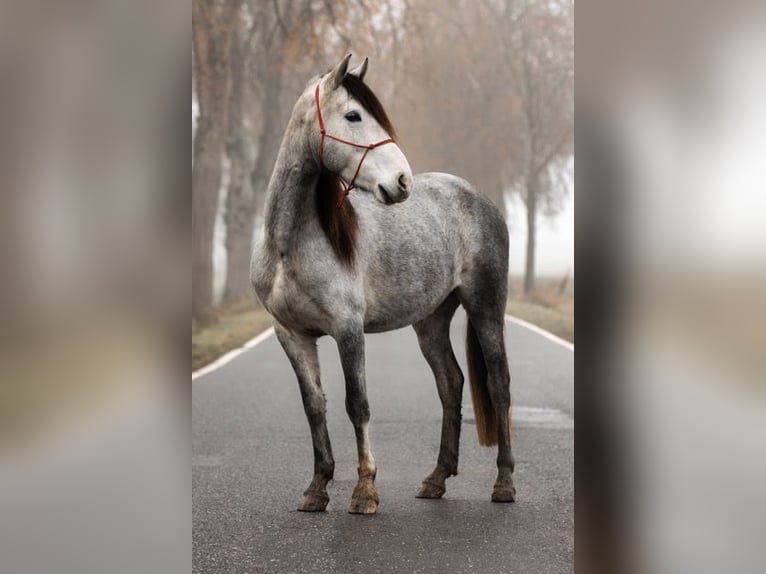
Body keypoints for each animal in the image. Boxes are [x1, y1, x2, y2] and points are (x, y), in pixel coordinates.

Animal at [252, 55, 516, 516]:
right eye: (353, 116)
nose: (402, 181)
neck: (289, 246)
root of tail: (477, 197)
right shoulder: (292, 335)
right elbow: (314, 407)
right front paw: (317, 487)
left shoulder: (348, 330)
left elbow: (357, 404)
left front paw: (364, 491)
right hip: (431, 321)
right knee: (451, 383)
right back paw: (436, 478)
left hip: (486, 307)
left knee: (498, 384)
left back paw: (504, 483)